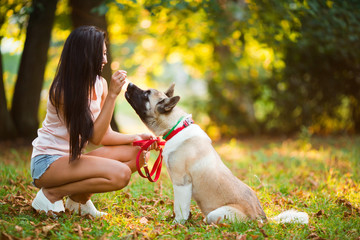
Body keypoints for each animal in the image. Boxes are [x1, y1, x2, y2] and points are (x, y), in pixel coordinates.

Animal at [125, 82, 308, 225]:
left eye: (146, 94)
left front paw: (178, 223)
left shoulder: (181, 183)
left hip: (215, 214)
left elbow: (180, 207)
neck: (175, 127)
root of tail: (262, 219)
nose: (129, 84)